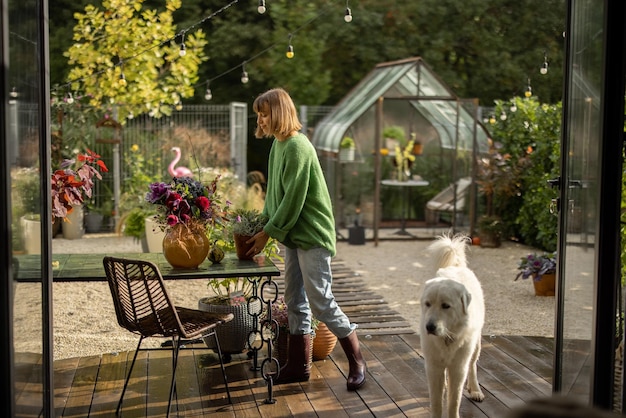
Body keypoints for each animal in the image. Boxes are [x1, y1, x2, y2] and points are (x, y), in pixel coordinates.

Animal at [420, 235, 482, 418]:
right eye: (427, 304)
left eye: (446, 306)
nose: (429, 327)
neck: (446, 338)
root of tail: (456, 266)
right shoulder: (433, 366)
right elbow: (436, 401)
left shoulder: (458, 368)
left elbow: (454, 400)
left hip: (476, 346)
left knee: (473, 366)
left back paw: (475, 390)